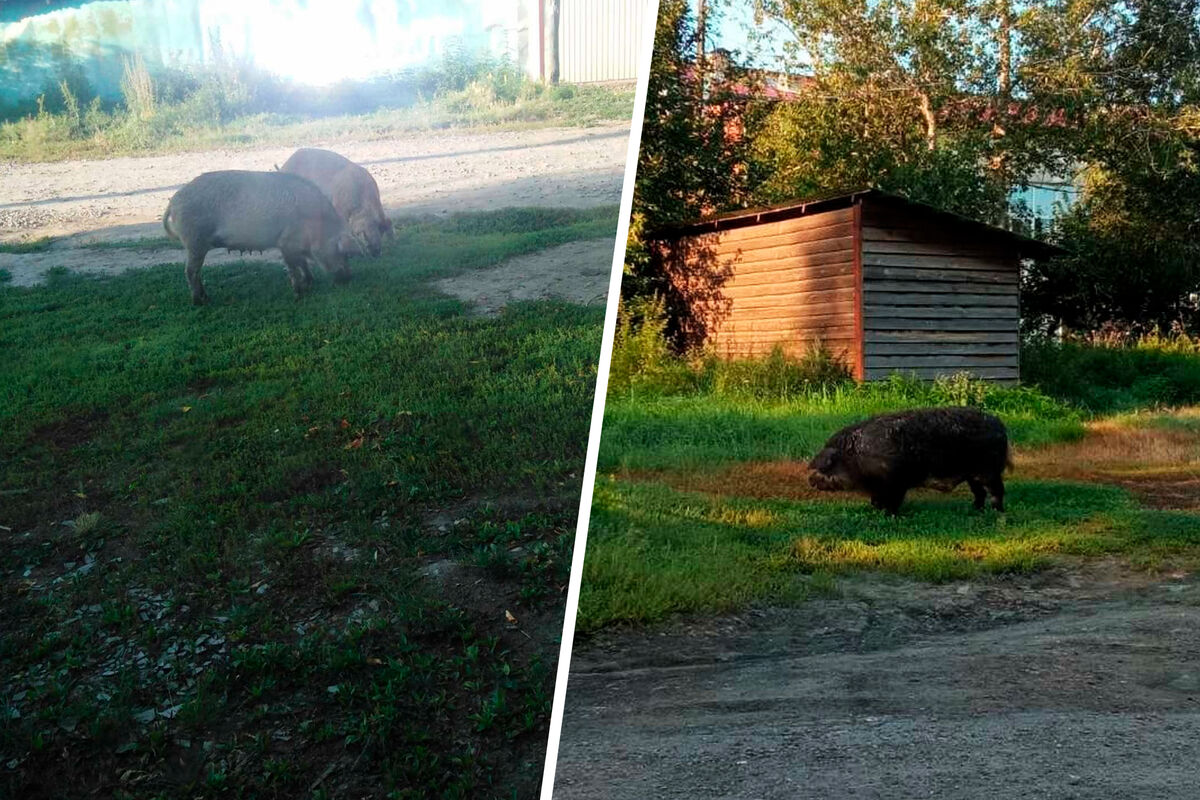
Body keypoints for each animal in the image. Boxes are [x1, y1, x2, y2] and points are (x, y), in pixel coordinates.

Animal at [163, 170, 355, 304]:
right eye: (344, 253)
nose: (348, 278)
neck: (316, 222)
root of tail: (174, 200)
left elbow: (303, 263)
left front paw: (310, 282)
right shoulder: (286, 242)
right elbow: (293, 267)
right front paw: (299, 293)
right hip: (195, 241)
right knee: (191, 271)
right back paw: (201, 301)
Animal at [806, 407, 1012, 513]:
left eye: (827, 466)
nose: (810, 480)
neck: (857, 459)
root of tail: (1001, 426)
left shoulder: (896, 481)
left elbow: (893, 500)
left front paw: (888, 515)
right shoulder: (878, 486)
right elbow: (876, 499)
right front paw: (876, 509)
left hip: (989, 470)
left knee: (997, 490)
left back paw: (997, 512)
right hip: (971, 474)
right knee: (979, 492)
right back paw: (974, 509)